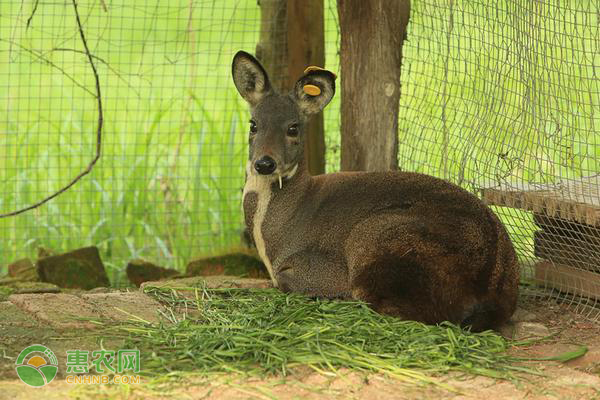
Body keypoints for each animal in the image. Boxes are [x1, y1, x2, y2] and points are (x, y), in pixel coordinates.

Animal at [232, 50, 516, 332]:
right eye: (253, 124)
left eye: (293, 127)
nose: (264, 163)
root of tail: (492, 284)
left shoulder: (322, 268)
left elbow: (290, 281)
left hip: (376, 235)